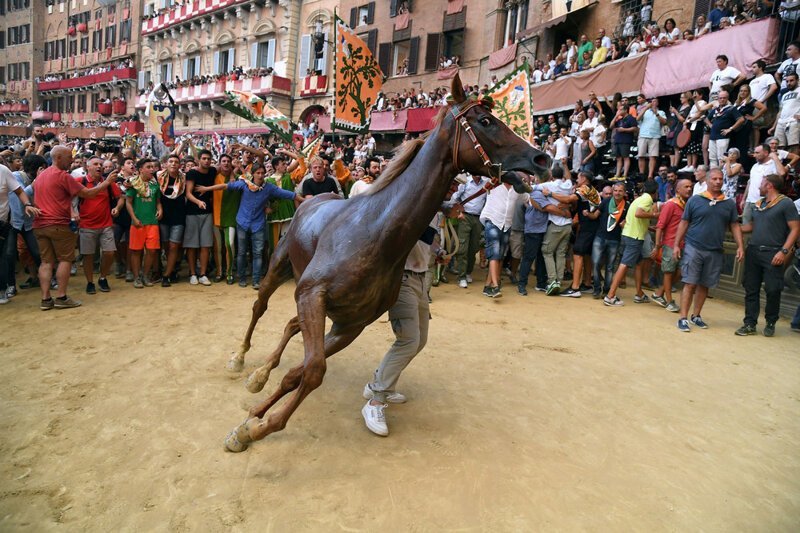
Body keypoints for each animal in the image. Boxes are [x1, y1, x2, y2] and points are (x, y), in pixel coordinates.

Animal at [225, 74, 552, 448]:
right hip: (280, 266)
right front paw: (250, 426)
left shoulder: (350, 323)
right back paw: (241, 359)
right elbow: (313, 370)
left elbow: (302, 372)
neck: (376, 232)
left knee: (292, 325)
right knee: (260, 306)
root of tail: (310, 197)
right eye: (485, 121)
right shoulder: (311, 294)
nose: (542, 158)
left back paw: (262, 371)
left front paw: (254, 422)